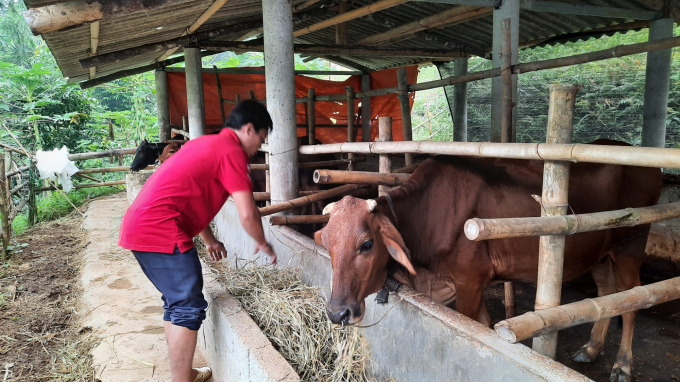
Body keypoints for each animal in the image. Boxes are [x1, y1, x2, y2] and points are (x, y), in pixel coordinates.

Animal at [316, 141, 660, 382]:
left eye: (367, 244)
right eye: (328, 245)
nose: (337, 313)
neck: (426, 215)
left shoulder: (469, 282)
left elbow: (473, 330)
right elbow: (483, 326)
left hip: (630, 245)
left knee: (634, 300)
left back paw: (622, 365)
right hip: (599, 253)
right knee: (607, 294)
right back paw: (591, 347)